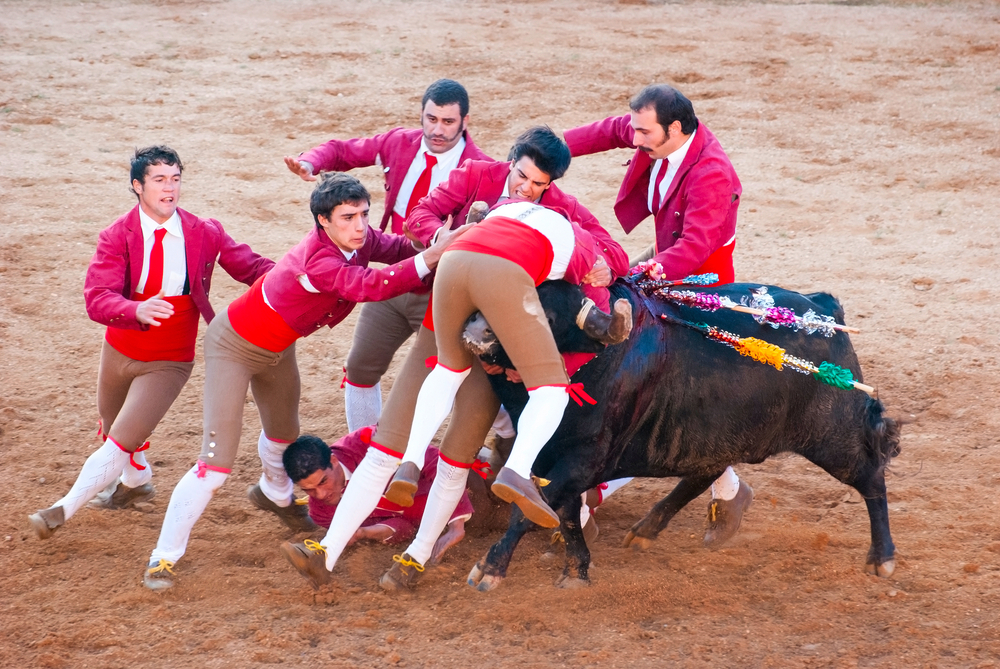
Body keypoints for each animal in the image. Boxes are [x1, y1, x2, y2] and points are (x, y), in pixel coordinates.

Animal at [464, 276, 904, 588]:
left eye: (545, 319)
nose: (476, 333)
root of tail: (823, 309)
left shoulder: (584, 458)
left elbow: (531, 509)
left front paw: (489, 567)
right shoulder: (552, 457)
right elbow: (565, 513)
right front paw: (577, 571)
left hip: (835, 436)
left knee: (871, 475)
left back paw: (882, 557)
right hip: (718, 434)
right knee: (705, 471)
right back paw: (647, 529)